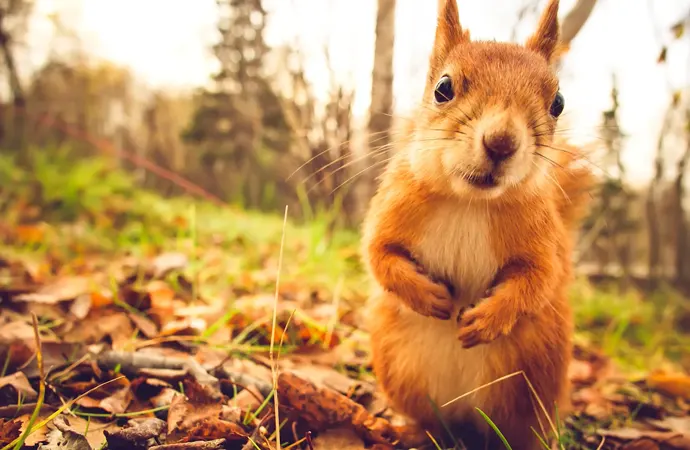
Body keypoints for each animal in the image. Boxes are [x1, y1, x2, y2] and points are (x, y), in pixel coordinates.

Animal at [361, 0, 596, 448]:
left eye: (557, 102)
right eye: (443, 88)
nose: (501, 142)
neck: (468, 202)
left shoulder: (544, 242)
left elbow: (539, 280)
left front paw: (488, 319)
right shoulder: (390, 211)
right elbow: (380, 255)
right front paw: (426, 296)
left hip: (532, 386)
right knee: (432, 421)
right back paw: (410, 431)